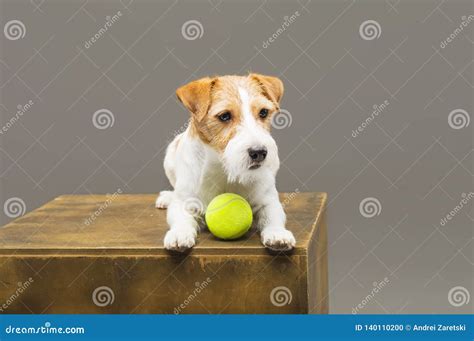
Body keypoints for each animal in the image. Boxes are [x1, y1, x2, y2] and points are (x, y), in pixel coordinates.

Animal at [157, 73, 294, 251]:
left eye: (263, 112)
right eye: (224, 116)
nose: (259, 152)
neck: (224, 169)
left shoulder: (268, 201)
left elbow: (273, 216)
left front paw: (277, 233)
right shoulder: (184, 202)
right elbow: (181, 217)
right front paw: (180, 233)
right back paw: (167, 197)